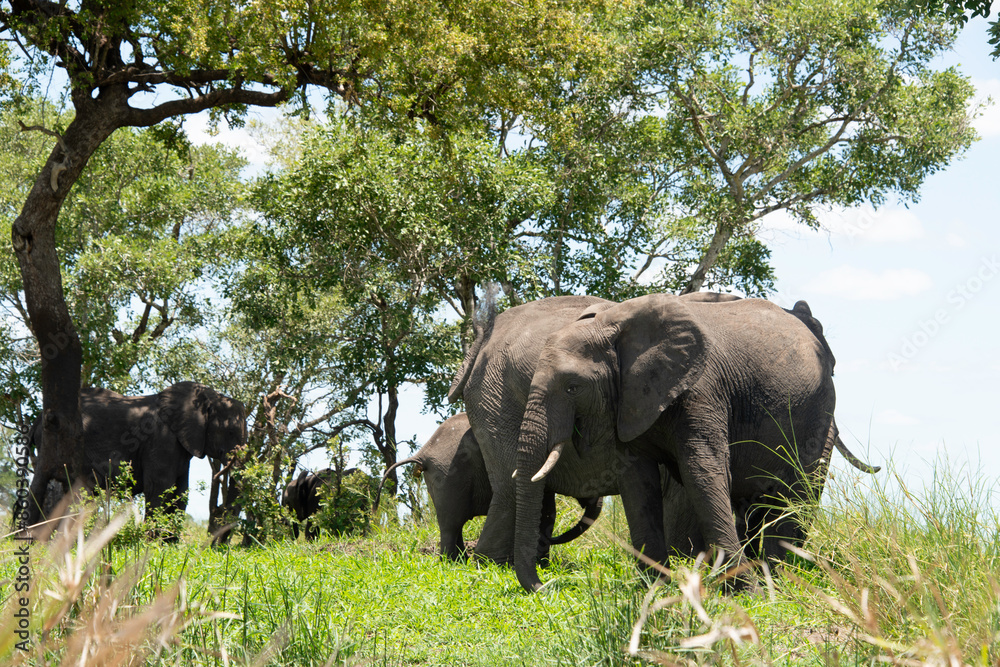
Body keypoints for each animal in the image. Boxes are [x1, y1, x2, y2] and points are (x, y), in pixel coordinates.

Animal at [25, 381, 247, 539]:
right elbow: (159, 487)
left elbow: (180, 491)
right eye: (230, 432)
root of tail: (37, 419)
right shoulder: (160, 439)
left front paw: (169, 545)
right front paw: (152, 544)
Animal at [371, 412, 604, 560]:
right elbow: (547, 513)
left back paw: (461, 561)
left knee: (454, 523)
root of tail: (423, 453)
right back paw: (451, 563)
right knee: (451, 523)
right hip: (448, 475)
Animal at [510, 293, 873, 592]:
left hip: (817, 410)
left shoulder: (702, 391)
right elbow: (637, 483)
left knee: (792, 493)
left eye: (573, 387)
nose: (546, 585)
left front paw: (745, 593)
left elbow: (703, 473)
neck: (613, 328)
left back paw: (776, 581)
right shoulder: (629, 401)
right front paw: (656, 589)